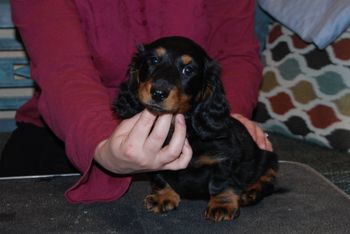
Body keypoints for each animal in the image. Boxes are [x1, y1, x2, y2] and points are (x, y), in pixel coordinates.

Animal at [113, 36, 278, 221]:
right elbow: (158, 175)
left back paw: (251, 192)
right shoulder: (154, 157)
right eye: (153, 60)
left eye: (188, 70)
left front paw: (222, 204)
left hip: (268, 156)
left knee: (268, 177)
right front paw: (163, 196)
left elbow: (222, 181)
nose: (158, 93)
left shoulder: (226, 158)